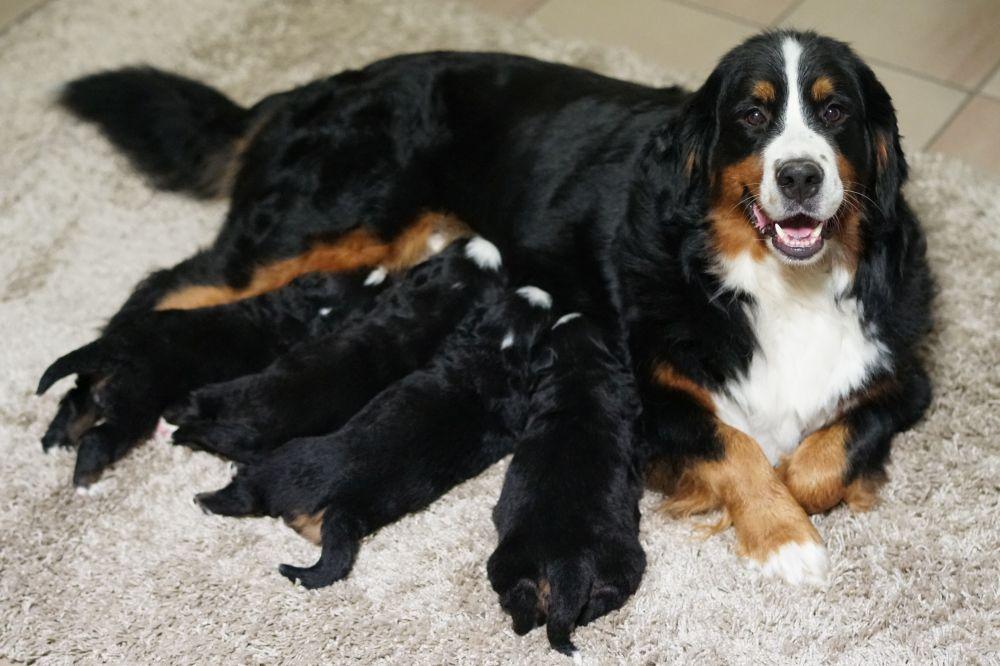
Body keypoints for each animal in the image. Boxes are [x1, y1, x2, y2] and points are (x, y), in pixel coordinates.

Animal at [488, 314, 644, 652]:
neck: (577, 374)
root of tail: (568, 563)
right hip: (625, 564)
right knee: (602, 599)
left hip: (509, 566)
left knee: (521, 602)